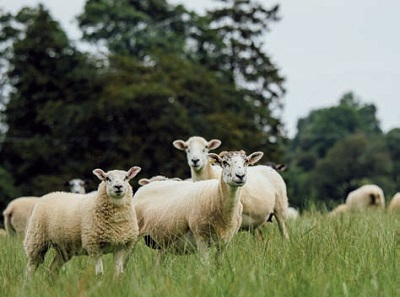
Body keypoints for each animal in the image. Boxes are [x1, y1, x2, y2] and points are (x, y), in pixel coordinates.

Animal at [133, 150, 262, 264]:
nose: (240, 176)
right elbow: (206, 265)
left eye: (246, 161)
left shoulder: (224, 242)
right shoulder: (201, 238)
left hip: (164, 242)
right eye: (225, 162)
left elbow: (218, 264)